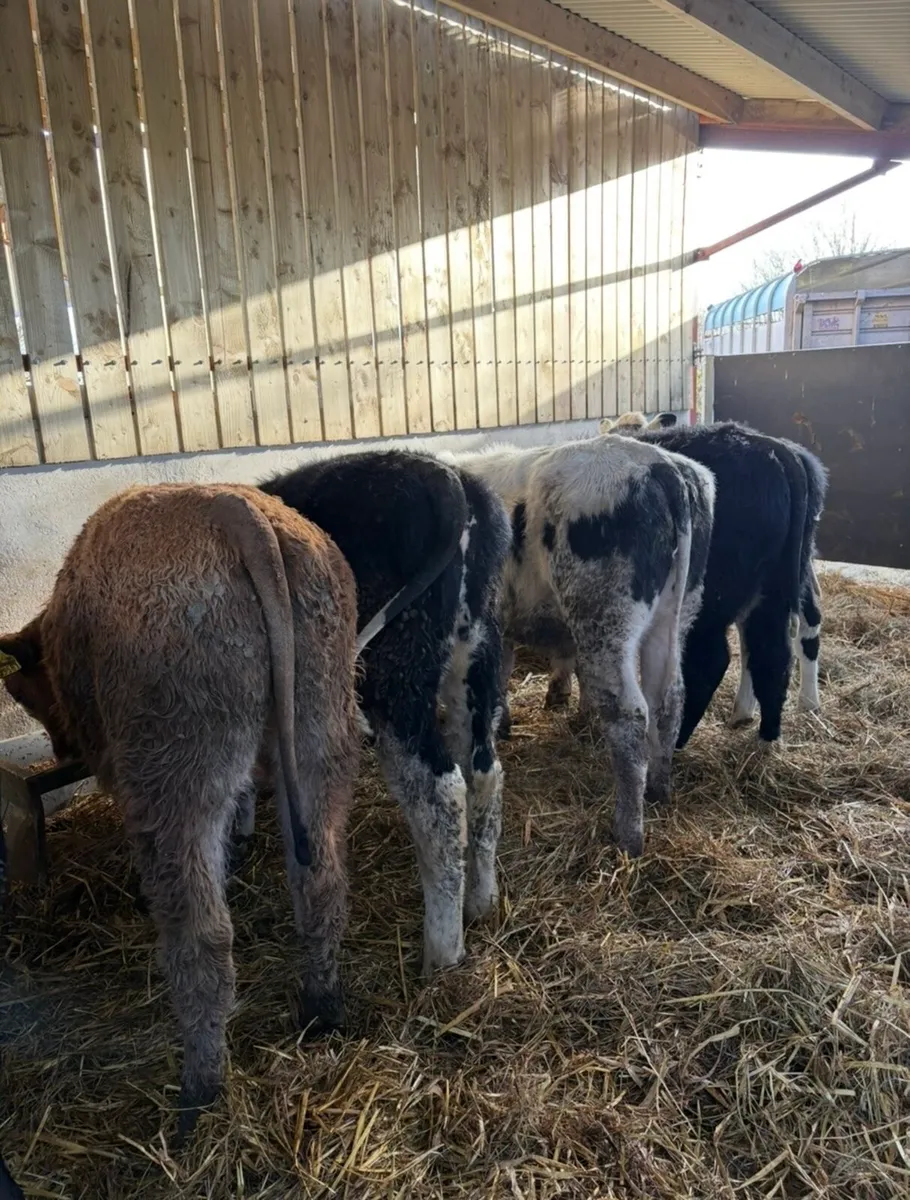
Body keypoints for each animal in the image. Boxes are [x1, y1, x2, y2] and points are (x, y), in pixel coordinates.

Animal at [0, 484, 368, 1142]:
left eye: (24, 691)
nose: (62, 749)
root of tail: (239, 514)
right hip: (320, 735)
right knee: (320, 882)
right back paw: (321, 1009)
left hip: (175, 780)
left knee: (202, 936)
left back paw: (199, 1093)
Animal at [259, 450, 511, 977]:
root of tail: (448, 480)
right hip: (475, 656)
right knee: (483, 773)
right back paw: (482, 903)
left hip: (396, 671)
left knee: (440, 793)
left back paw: (442, 953)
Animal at [447, 436, 716, 858]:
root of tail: (659, 462)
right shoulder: (500, 623)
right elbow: (502, 672)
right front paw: (504, 723)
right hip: (678, 612)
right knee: (668, 698)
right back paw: (659, 790)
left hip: (604, 617)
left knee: (630, 713)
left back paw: (629, 834)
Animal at [600, 417, 828, 744]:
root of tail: (776, 450)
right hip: (777, 585)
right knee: (778, 647)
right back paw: (774, 725)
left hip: (713, 599)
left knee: (714, 659)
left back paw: (677, 736)